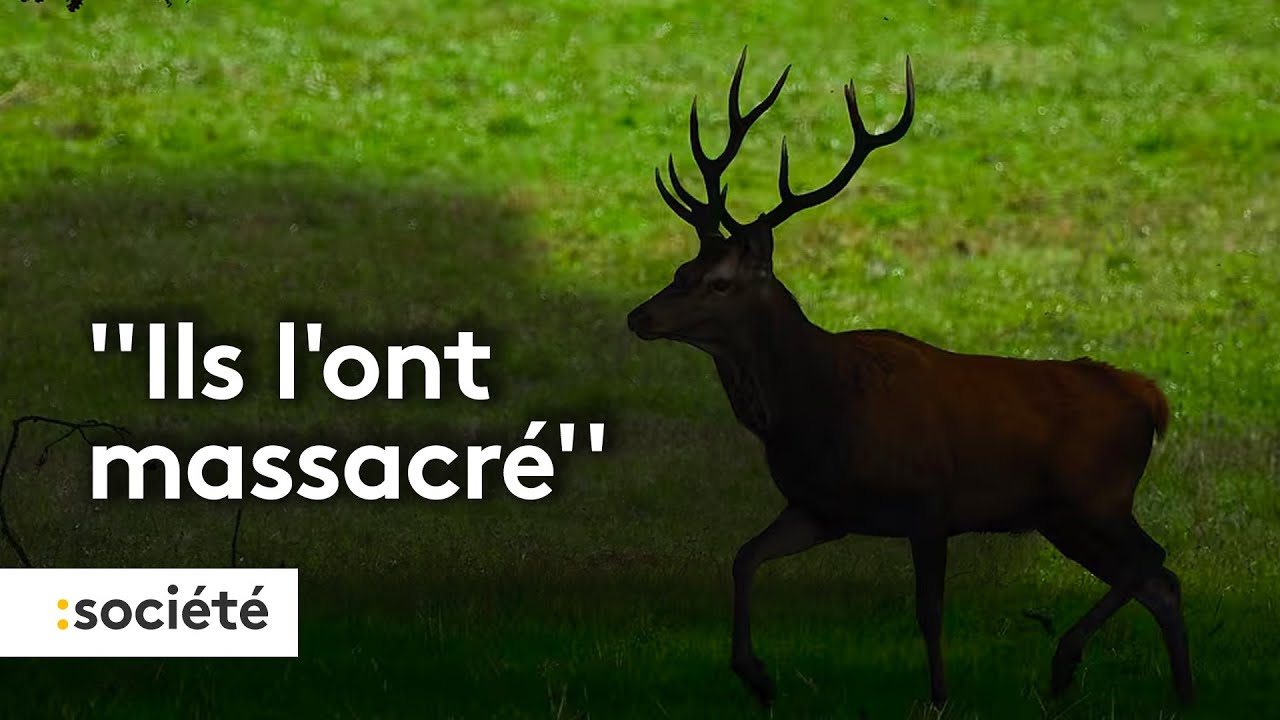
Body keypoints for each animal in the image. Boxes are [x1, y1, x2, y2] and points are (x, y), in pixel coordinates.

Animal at [626, 49, 1193, 709]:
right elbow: (744, 557)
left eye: (719, 283)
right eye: (681, 268)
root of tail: (1149, 398)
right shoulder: (820, 509)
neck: (818, 406)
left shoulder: (929, 503)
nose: (640, 316)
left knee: (1152, 559)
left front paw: (940, 696)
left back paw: (1065, 661)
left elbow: (929, 610)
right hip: (1062, 516)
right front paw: (756, 675)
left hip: (1094, 495)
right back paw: (1180, 693)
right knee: (1161, 582)